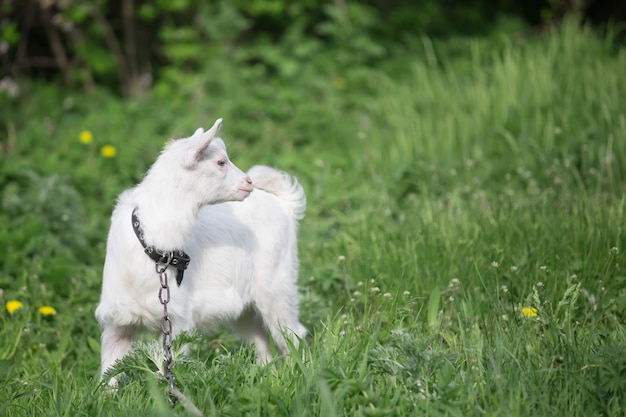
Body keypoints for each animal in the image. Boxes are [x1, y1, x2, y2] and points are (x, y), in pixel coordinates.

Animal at [94, 118, 304, 378]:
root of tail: (284, 205)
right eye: (221, 161)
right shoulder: (117, 324)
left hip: (276, 288)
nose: (249, 182)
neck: (154, 249)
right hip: (248, 308)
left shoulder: (177, 322)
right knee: (263, 340)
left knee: (292, 336)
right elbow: (109, 375)